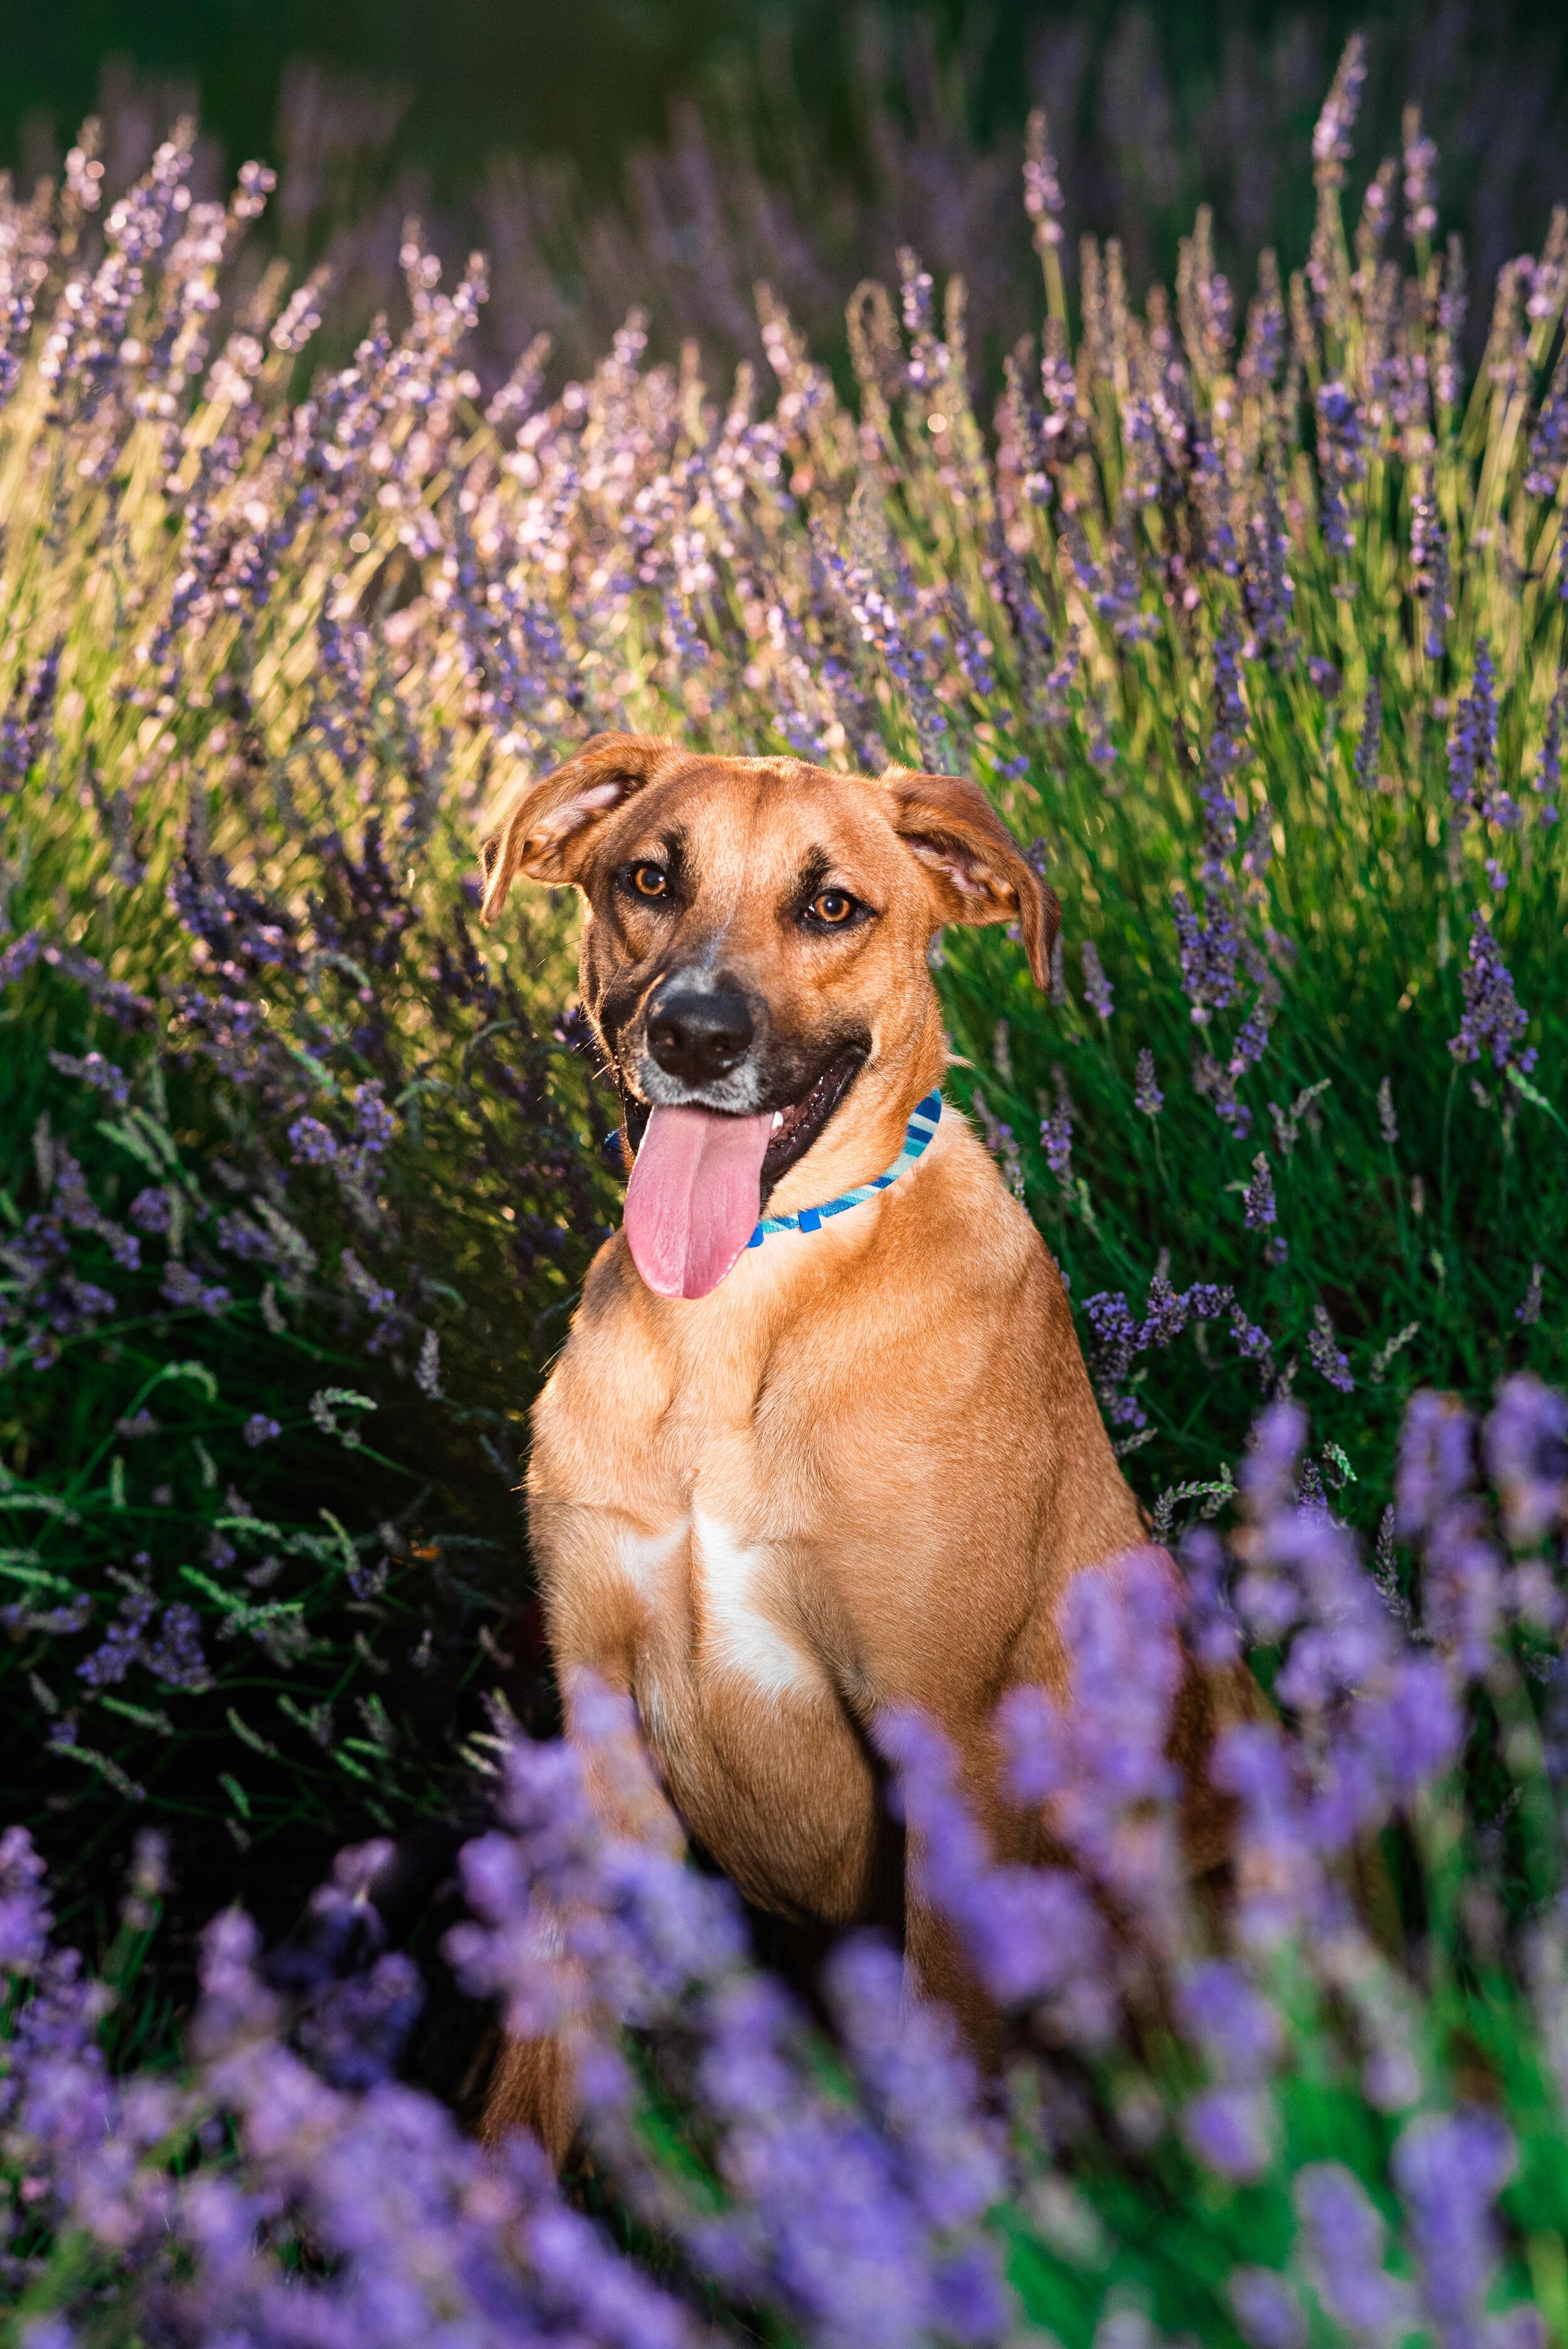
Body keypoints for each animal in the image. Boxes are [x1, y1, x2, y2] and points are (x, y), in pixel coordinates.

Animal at [479, 742, 1211, 2151]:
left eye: (831, 907)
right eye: (648, 879)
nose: (694, 1035)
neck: (737, 1313)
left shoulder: (948, 1740)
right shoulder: (598, 1724)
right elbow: (533, 2083)